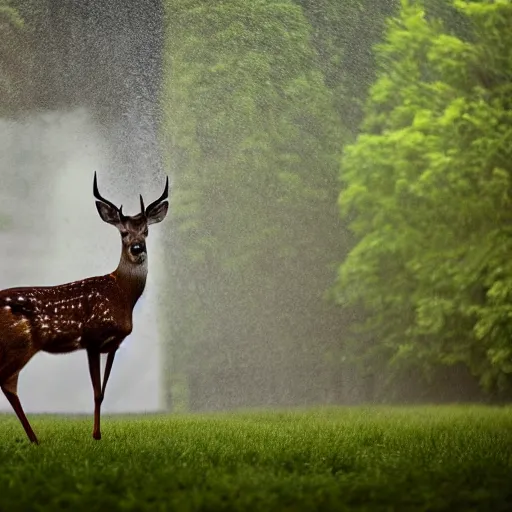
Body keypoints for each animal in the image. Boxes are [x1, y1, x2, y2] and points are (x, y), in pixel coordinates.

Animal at [0, 173, 170, 444]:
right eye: (123, 233)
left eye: (146, 231)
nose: (137, 249)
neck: (122, 293)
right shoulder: (92, 337)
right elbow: (96, 392)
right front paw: (96, 435)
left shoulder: (114, 344)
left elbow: (103, 391)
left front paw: (98, 434)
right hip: (19, 343)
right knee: (7, 382)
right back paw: (35, 438)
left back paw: (34, 438)